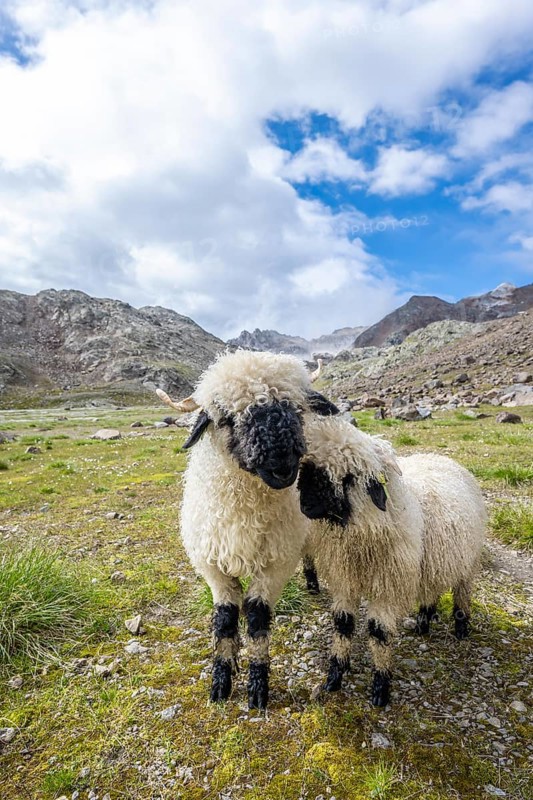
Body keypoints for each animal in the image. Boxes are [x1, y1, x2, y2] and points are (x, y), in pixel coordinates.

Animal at [157, 350, 335, 709]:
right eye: (226, 418)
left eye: (296, 409)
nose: (283, 467)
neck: (244, 513)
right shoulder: (213, 566)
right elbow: (225, 621)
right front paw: (220, 684)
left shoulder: (275, 564)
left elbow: (257, 617)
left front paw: (257, 687)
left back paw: (311, 582)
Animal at [298, 414, 487, 707]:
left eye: (348, 478)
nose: (304, 506)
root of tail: (442, 457)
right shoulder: (345, 581)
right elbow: (342, 624)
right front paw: (334, 677)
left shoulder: (387, 586)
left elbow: (378, 632)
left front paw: (380, 687)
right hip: (430, 562)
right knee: (430, 590)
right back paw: (423, 623)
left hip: (467, 563)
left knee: (462, 594)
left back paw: (461, 629)